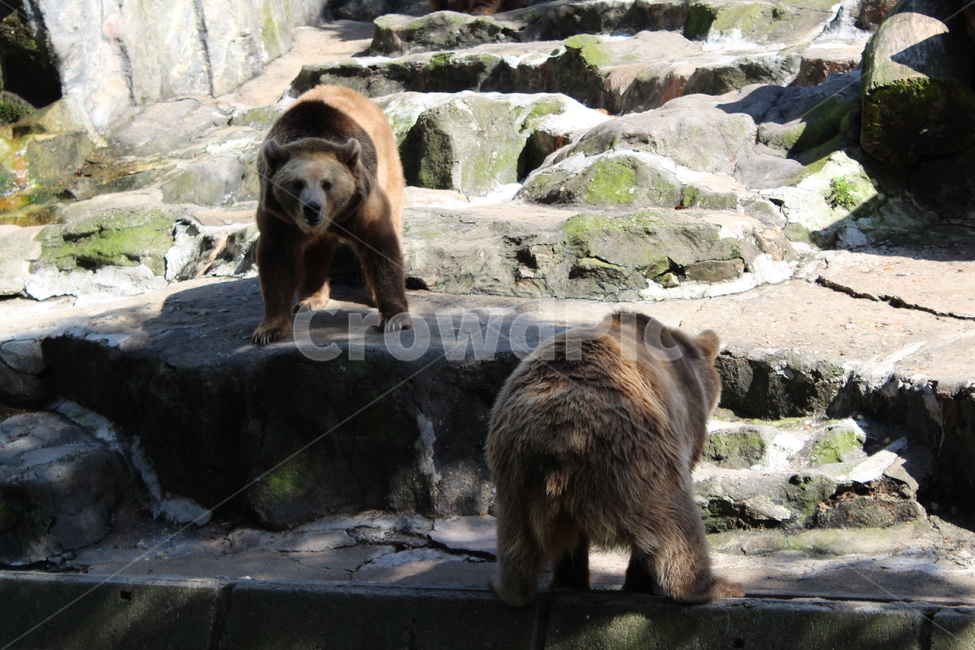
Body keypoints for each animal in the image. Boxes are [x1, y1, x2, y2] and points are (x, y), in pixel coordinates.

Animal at [252, 84, 412, 345]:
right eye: (297, 184)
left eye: (327, 184)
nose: (312, 207)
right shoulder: (279, 218)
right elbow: (277, 262)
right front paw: (268, 330)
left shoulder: (360, 203)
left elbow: (380, 245)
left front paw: (394, 317)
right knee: (316, 250)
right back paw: (309, 299)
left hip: (389, 167)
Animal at [486, 310, 744, 606]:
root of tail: (561, 439)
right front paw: (639, 583)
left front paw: (571, 580)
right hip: (638, 457)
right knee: (675, 520)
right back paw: (714, 587)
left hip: (516, 472)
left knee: (514, 542)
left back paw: (506, 589)